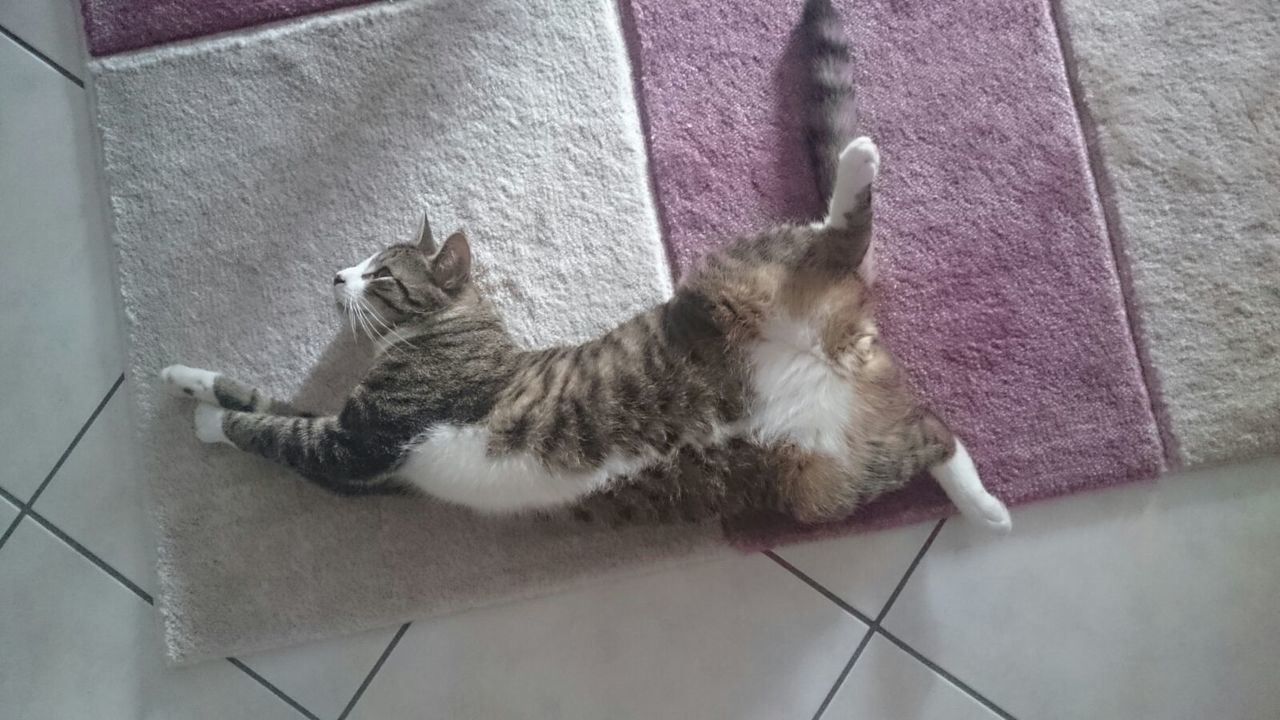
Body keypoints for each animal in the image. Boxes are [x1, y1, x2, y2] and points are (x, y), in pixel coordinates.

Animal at [160, 0, 1013, 527]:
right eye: (361, 264)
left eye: (381, 273)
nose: (335, 276)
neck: (446, 333)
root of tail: (844, 338)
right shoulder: (365, 449)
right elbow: (271, 400)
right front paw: (186, 381)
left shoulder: (359, 445)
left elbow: (271, 428)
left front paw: (206, 420)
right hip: (831, 479)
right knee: (938, 432)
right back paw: (987, 508)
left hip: (729, 279)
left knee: (839, 230)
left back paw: (858, 162)